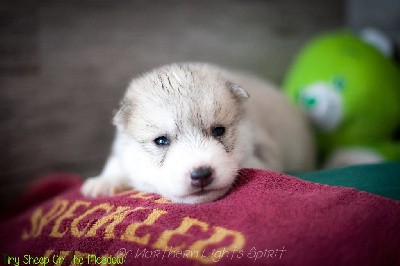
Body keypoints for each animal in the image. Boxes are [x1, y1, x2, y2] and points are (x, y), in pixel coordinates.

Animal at [79, 62, 314, 204]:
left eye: (219, 131)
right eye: (161, 141)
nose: (201, 174)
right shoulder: (122, 150)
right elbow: (116, 164)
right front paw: (102, 183)